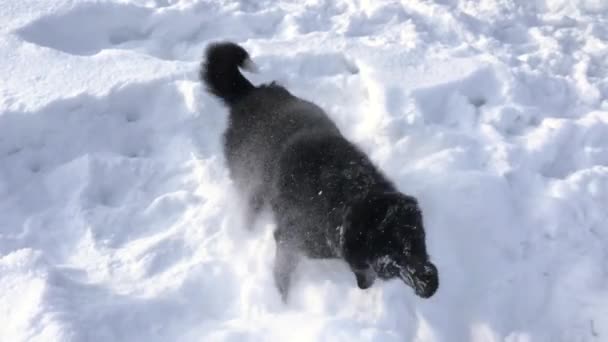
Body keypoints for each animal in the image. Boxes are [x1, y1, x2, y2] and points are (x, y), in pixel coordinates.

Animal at [202, 42, 440, 300]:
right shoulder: (288, 241)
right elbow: (282, 279)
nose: (430, 284)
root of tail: (248, 94)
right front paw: (284, 306)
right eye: (391, 260)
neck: (346, 194)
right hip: (249, 182)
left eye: (417, 238)